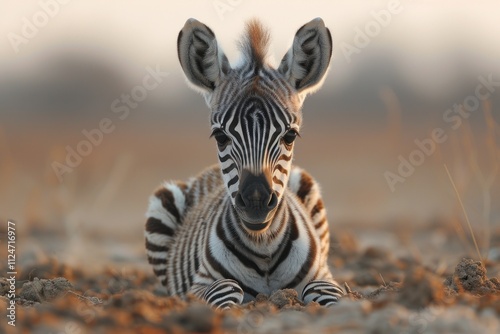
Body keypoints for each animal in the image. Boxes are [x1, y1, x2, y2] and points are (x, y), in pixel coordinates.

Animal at [145, 17, 344, 306]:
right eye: (220, 136)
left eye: (290, 136)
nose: (256, 202)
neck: (263, 246)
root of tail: (209, 173)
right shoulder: (199, 285)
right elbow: (227, 288)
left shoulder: (325, 275)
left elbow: (322, 291)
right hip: (161, 208)